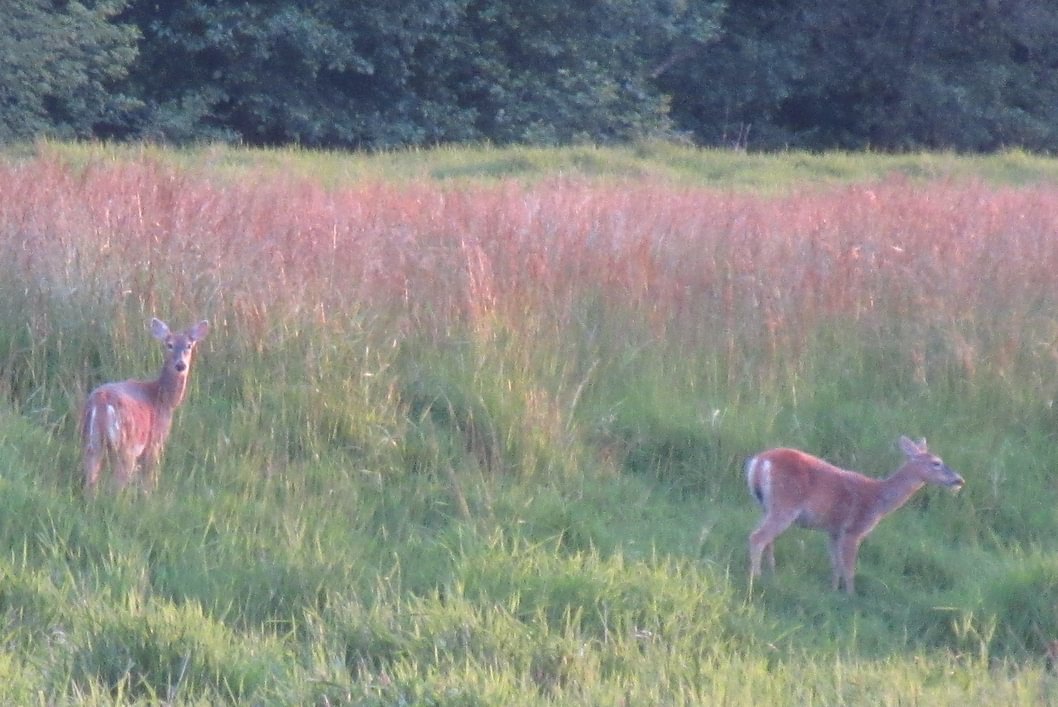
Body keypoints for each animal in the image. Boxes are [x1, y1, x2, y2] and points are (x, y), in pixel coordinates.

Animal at [81, 318, 209, 494]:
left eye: (189, 345)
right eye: (169, 344)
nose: (180, 365)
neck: (163, 398)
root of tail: (101, 403)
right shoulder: (155, 441)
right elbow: (149, 478)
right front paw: (150, 496)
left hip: (92, 442)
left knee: (91, 479)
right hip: (126, 444)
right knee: (117, 484)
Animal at [746, 436, 964, 595]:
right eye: (936, 463)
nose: (959, 480)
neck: (879, 499)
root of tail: (759, 461)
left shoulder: (833, 530)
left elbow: (835, 563)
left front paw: (833, 590)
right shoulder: (854, 529)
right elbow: (849, 568)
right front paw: (851, 595)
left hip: (766, 506)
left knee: (765, 538)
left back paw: (771, 573)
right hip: (786, 504)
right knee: (757, 537)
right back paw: (756, 577)